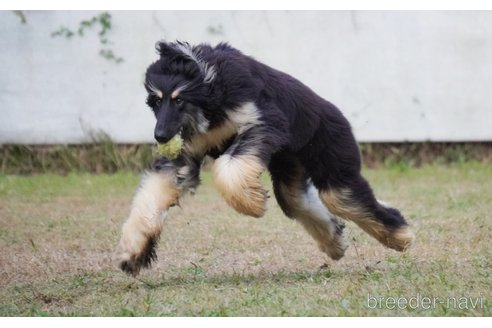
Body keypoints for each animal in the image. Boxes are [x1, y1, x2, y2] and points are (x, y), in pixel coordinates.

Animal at [115, 41, 416, 276]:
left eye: (178, 100)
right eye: (156, 101)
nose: (161, 136)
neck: (210, 93)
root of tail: (337, 113)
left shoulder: (262, 120)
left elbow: (230, 168)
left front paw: (251, 203)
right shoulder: (186, 154)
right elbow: (155, 192)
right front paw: (133, 251)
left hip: (332, 154)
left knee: (340, 196)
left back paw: (400, 237)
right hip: (290, 165)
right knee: (296, 201)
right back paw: (336, 243)